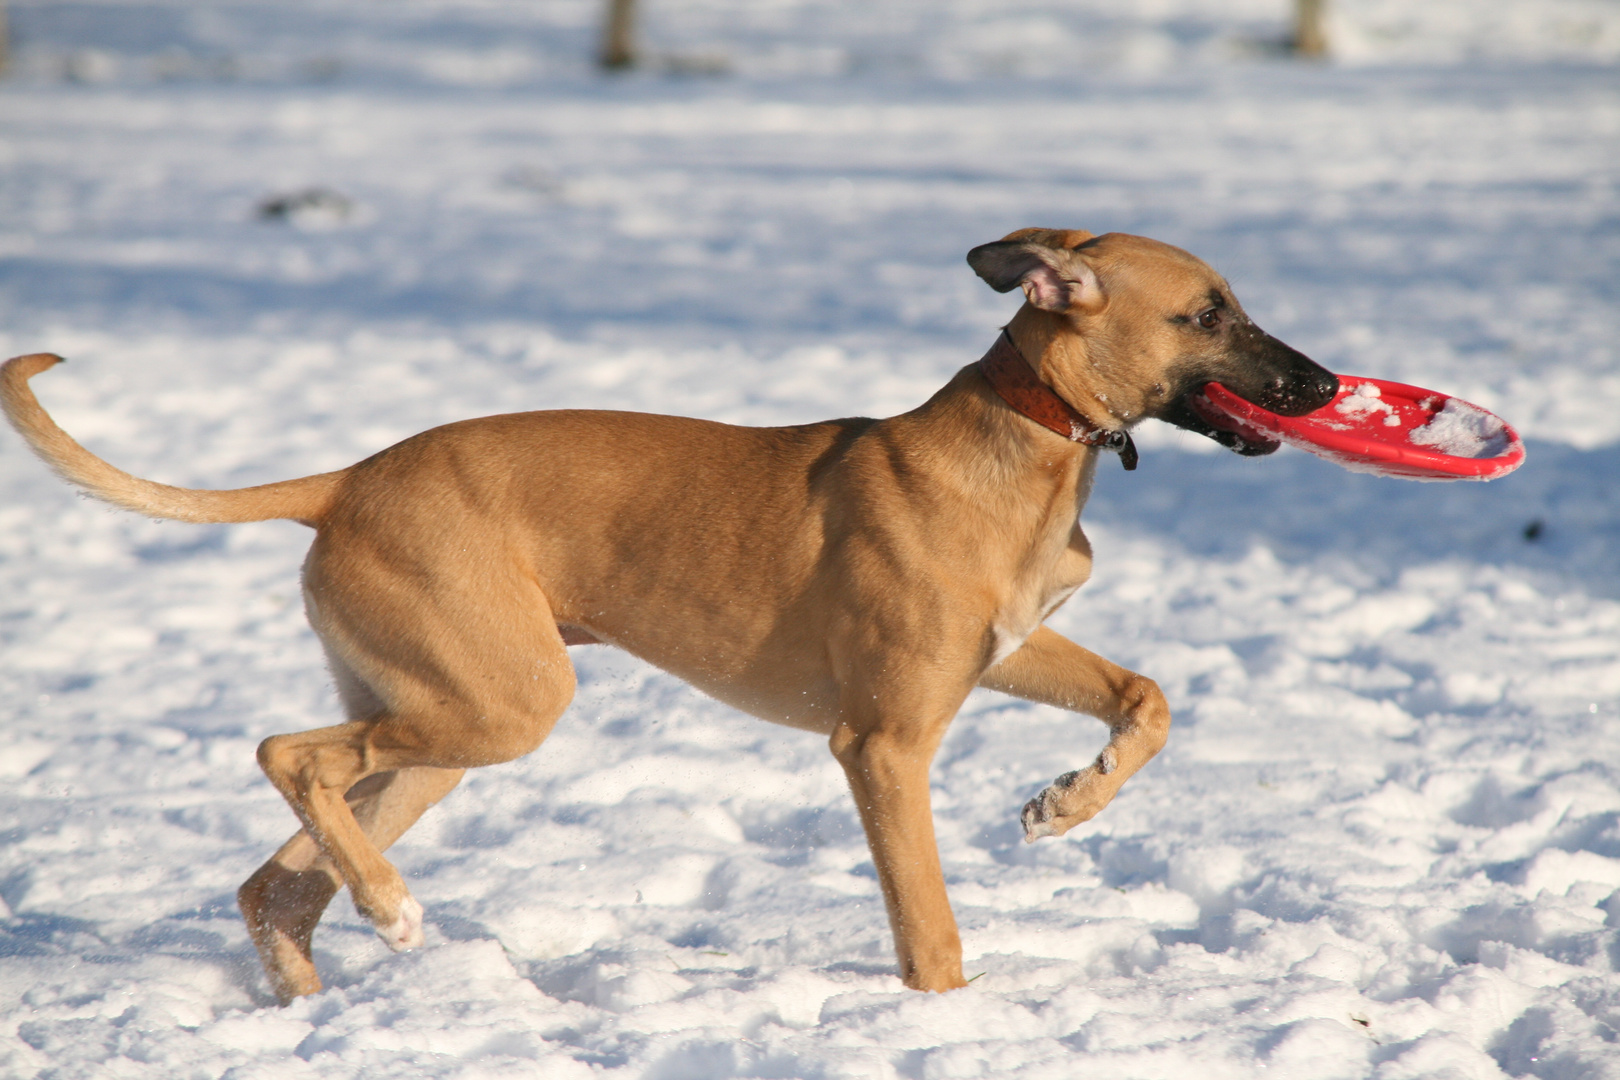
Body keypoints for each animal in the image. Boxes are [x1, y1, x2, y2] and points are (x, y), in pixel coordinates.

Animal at [0, 229, 1334, 1003]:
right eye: (1209, 312)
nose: (1322, 383)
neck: (1023, 443)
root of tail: (346, 480)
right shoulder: (883, 744)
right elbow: (931, 929)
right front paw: (941, 1020)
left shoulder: (1010, 650)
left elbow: (1145, 698)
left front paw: (1067, 801)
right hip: (498, 704)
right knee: (285, 755)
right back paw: (388, 907)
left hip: (440, 724)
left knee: (276, 880)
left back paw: (317, 976)